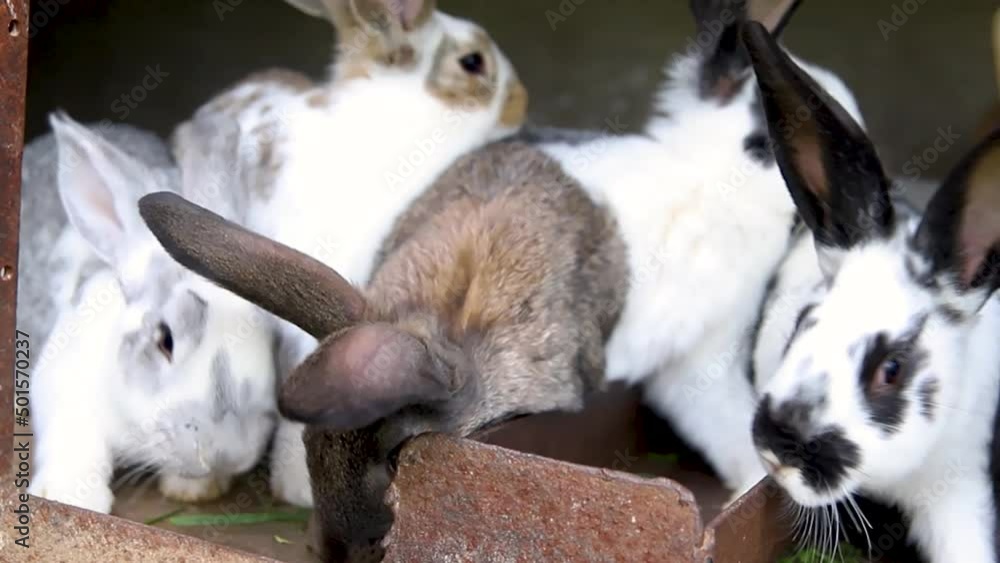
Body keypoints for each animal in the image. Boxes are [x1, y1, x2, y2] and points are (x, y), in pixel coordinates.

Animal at [25, 112, 277, 514]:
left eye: (270, 339)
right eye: (164, 340)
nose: (230, 452)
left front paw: (194, 489)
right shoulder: (62, 384)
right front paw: (68, 495)